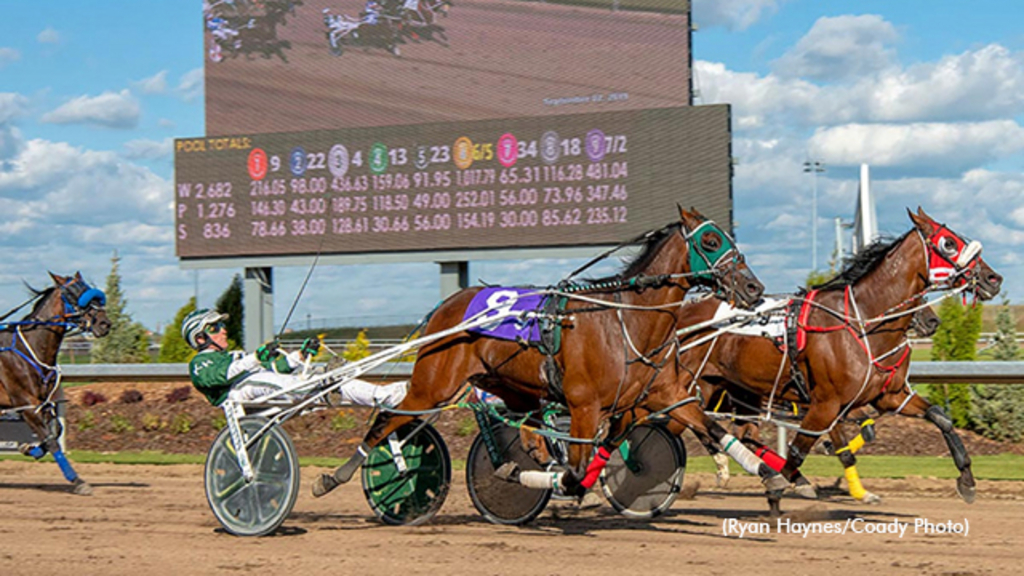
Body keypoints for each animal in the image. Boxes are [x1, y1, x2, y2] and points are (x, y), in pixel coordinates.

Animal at [0, 272, 111, 494]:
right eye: (73, 294)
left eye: (89, 291)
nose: (104, 323)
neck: (28, 350)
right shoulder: (25, 403)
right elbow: (52, 441)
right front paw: (78, 481)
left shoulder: (43, 401)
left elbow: (55, 431)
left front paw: (28, 448)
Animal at [311, 203, 790, 500]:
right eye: (709, 242)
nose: (754, 288)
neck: (626, 321)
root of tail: (446, 306)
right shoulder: (583, 406)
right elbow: (577, 469)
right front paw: (556, 482)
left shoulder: (664, 396)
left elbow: (713, 429)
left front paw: (775, 477)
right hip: (433, 386)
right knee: (386, 420)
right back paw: (333, 478)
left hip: (511, 387)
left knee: (521, 429)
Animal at [675, 207, 1003, 510]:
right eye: (948, 243)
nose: (993, 278)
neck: (864, 321)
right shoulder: (825, 404)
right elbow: (801, 452)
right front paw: (789, 486)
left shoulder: (889, 396)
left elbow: (939, 417)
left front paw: (967, 479)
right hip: (693, 386)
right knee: (689, 421)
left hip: (734, 389)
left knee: (729, 430)